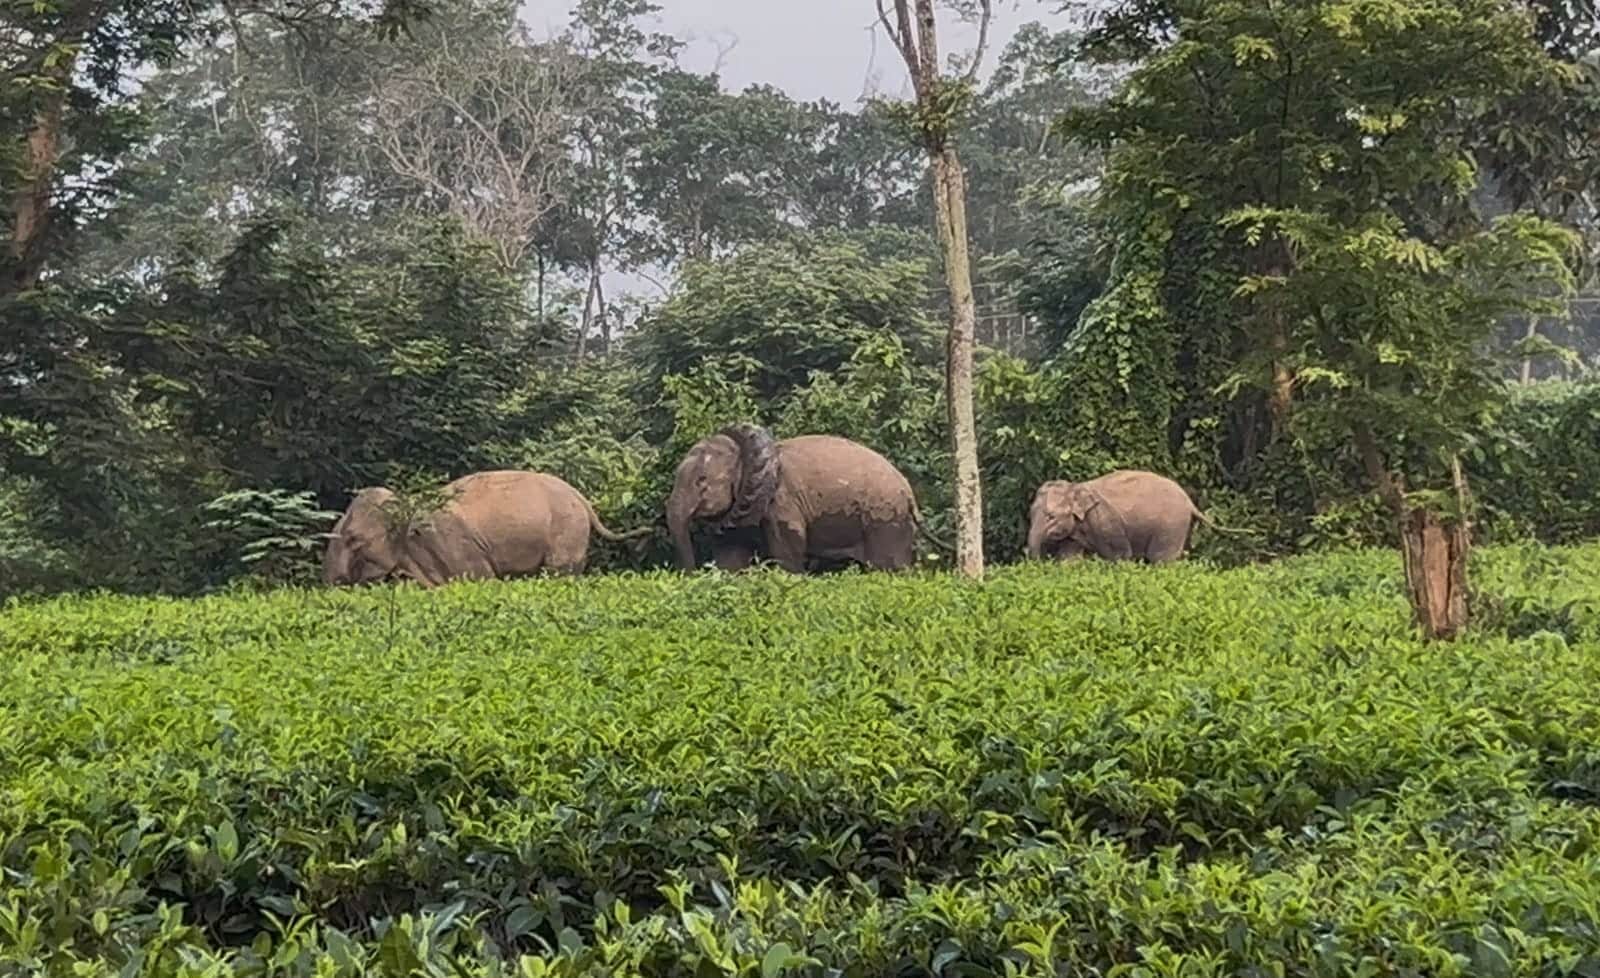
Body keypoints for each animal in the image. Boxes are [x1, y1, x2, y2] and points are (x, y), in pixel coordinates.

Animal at [323, 470, 651, 587]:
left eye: (353, 539)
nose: (336, 582)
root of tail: (582, 499)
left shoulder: (451, 540)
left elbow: (481, 578)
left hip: (567, 530)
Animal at [666, 424, 950, 573]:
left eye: (701, 481)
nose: (690, 573)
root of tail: (910, 495)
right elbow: (730, 555)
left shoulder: (782, 502)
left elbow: (788, 547)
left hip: (885, 519)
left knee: (888, 566)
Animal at [1026, 469, 1236, 564]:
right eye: (1030, 514)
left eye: (1051, 516)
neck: (1077, 486)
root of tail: (1190, 503)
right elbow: (1069, 557)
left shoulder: (1105, 521)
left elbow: (1120, 555)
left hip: (1171, 525)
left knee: (1162, 559)